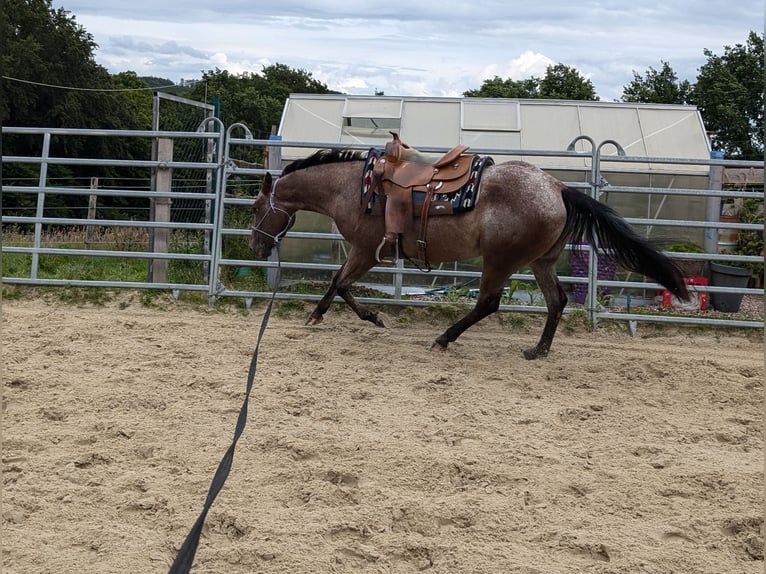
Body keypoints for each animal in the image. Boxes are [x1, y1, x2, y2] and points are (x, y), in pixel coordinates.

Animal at [252, 139, 688, 360]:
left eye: (255, 208)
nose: (255, 245)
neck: (354, 188)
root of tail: (558, 188)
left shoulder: (365, 250)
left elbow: (340, 283)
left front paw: (368, 317)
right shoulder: (362, 253)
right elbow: (337, 283)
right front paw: (321, 316)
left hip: (500, 260)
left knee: (488, 304)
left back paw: (444, 339)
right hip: (540, 261)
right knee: (557, 301)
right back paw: (538, 350)